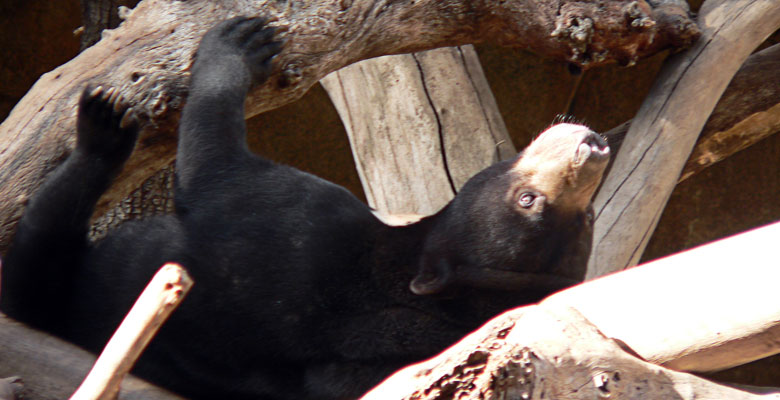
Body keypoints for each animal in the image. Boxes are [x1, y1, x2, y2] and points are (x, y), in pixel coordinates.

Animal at [0, 17, 610, 400]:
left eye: (528, 200)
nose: (591, 146)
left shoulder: (296, 220)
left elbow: (216, 168)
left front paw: (239, 43)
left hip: (52, 284)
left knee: (38, 246)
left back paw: (102, 132)